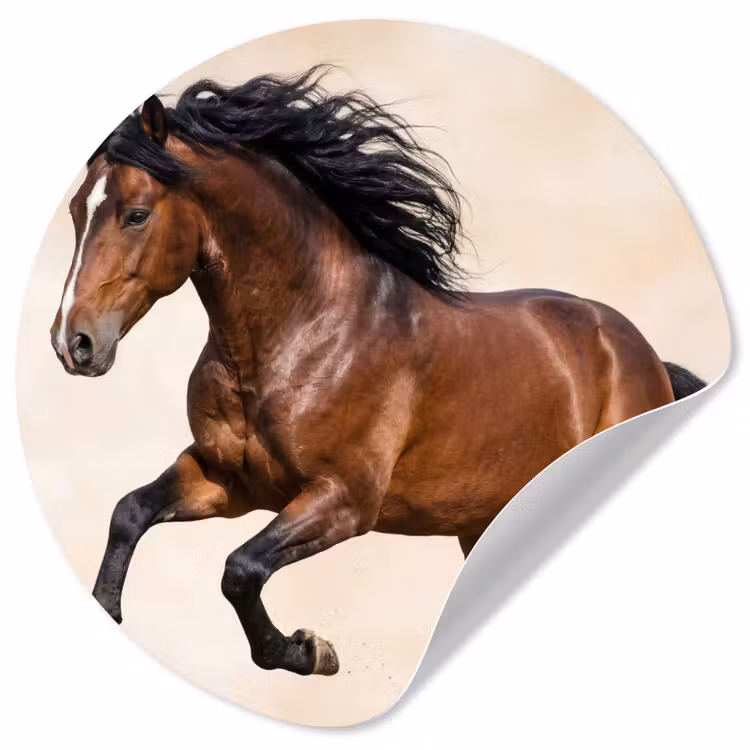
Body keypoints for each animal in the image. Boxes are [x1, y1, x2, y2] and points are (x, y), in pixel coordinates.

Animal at [50, 66, 706, 677]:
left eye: (136, 215)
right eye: (78, 211)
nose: (72, 343)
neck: (302, 332)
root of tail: (642, 354)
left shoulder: (344, 499)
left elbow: (241, 570)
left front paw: (310, 652)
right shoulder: (227, 479)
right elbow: (129, 512)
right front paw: (108, 609)